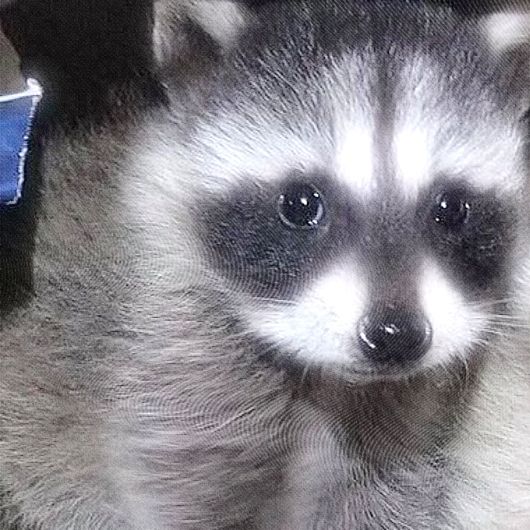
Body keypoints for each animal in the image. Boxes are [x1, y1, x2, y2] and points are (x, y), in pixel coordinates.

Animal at [0, 0, 524, 524]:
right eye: (300, 203)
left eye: (452, 208)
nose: (396, 336)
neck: (327, 377)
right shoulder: (168, 370)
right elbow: (178, 495)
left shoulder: (402, 417)